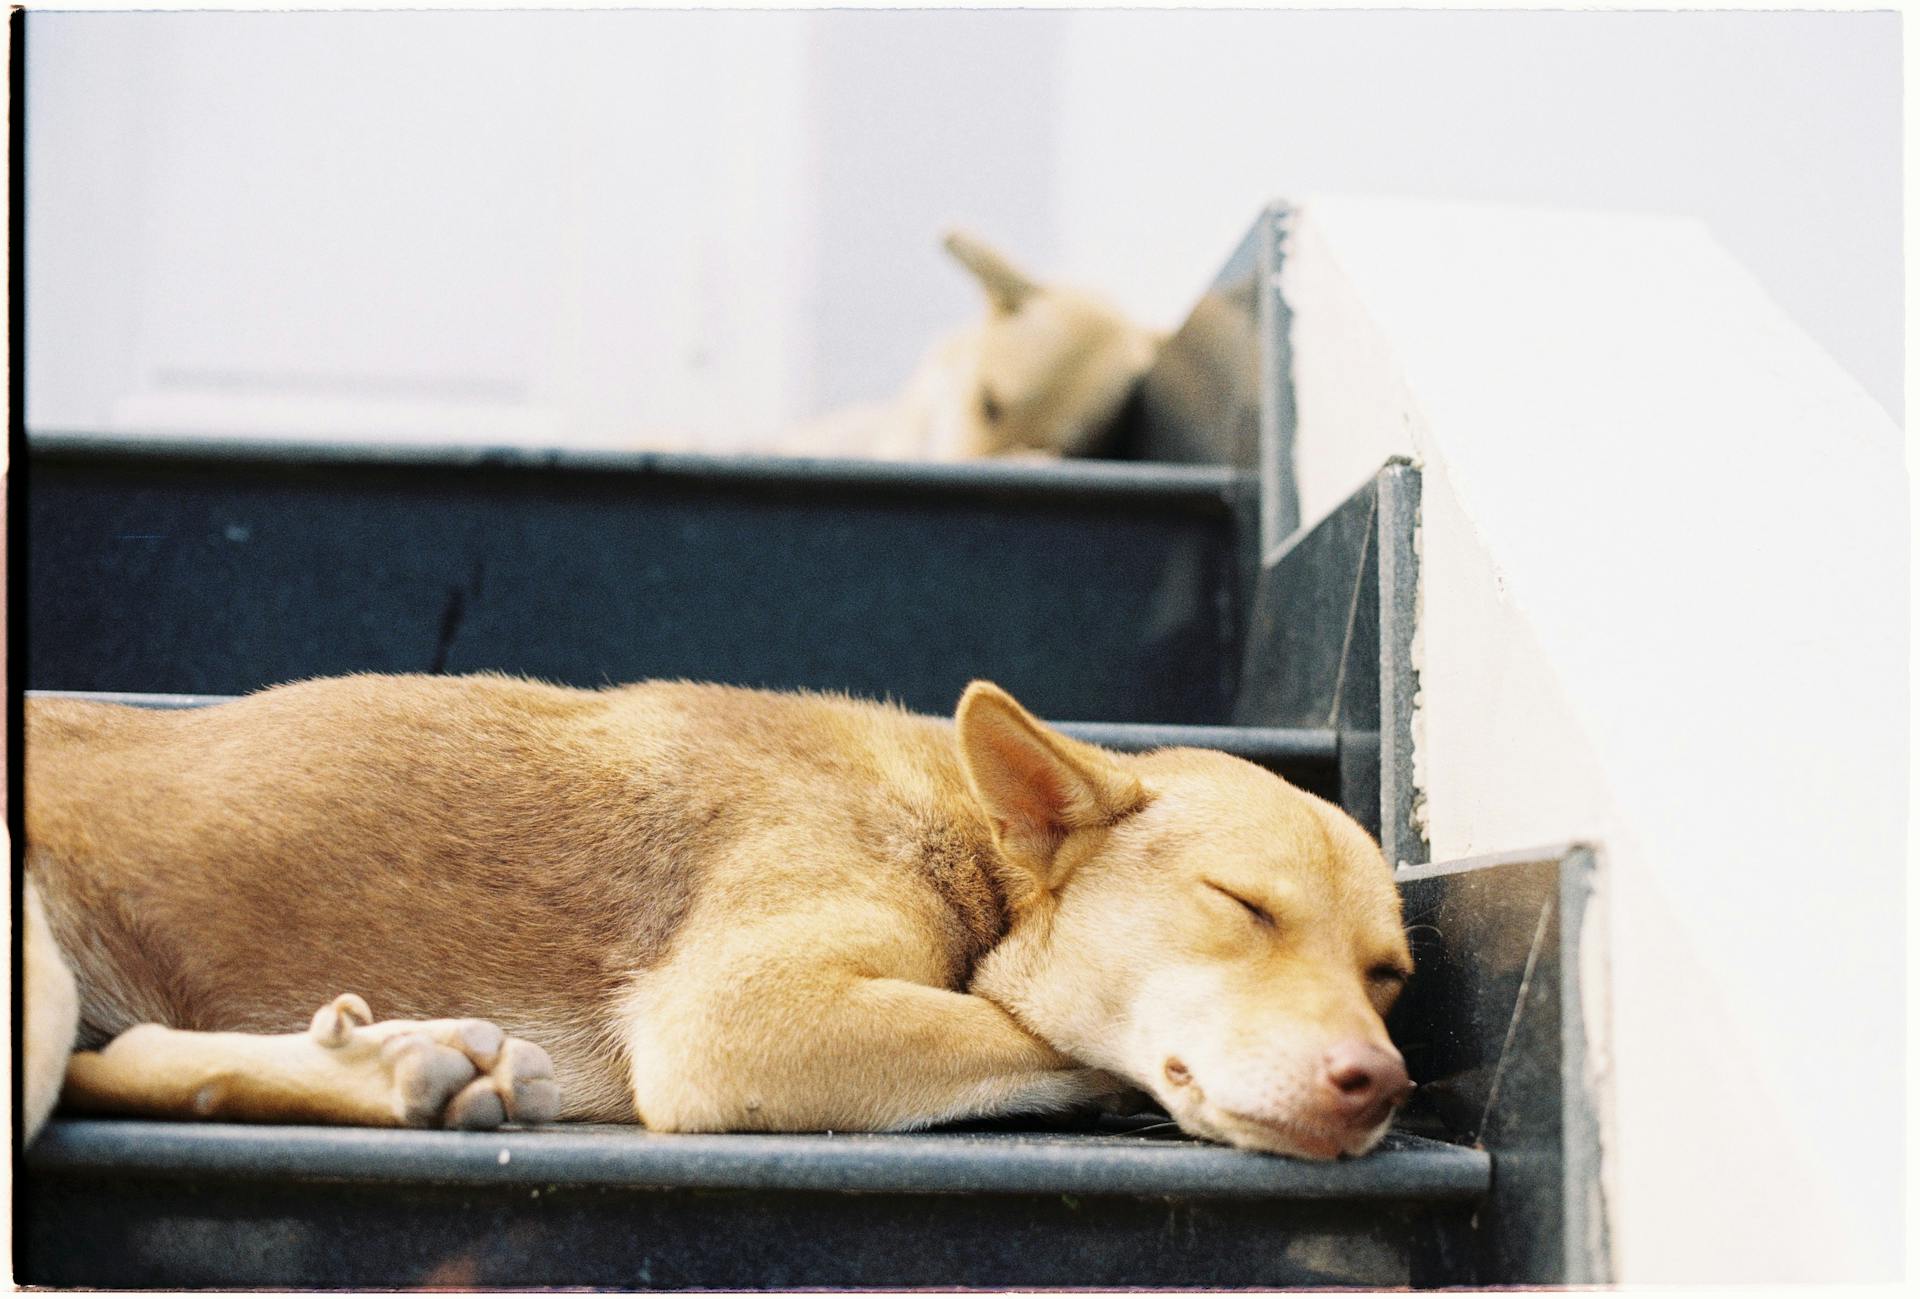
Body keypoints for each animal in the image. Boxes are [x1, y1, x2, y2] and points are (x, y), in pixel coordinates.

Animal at [22, 675, 1420, 1158]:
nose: (1380, 1086)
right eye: (1240, 905)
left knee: (136, 1057)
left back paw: (402, 1066)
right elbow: (1046, 1038)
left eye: (1390, 976)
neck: (962, 829)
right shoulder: (742, 1021)